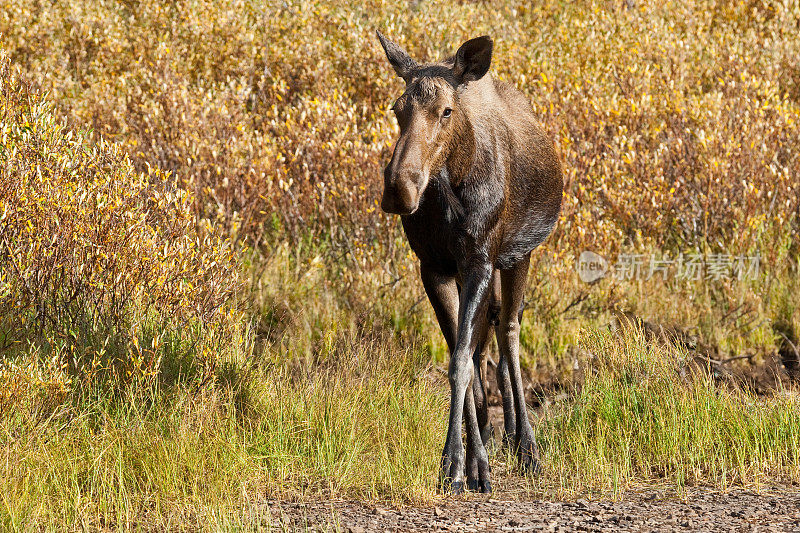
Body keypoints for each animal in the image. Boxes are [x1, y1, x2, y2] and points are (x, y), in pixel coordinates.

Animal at [376, 31, 564, 492]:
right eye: (397, 108)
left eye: (446, 110)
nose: (399, 188)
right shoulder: (435, 267)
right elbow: (459, 359)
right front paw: (471, 457)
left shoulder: (479, 260)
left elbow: (460, 360)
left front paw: (459, 464)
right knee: (487, 338)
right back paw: (501, 430)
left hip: (518, 255)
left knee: (509, 330)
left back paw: (526, 444)